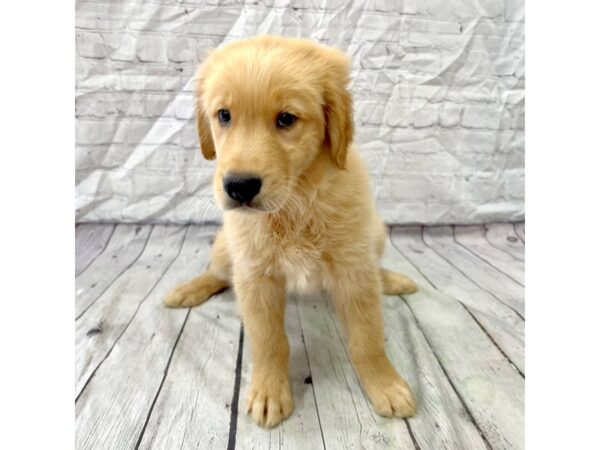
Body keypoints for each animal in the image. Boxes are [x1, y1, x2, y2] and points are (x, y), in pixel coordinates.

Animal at [164, 35, 418, 428]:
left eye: (286, 119)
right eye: (224, 115)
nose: (239, 187)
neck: (295, 202)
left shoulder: (353, 269)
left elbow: (368, 337)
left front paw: (385, 385)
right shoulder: (255, 275)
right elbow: (268, 340)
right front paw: (269, 392)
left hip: (374, 233)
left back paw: (391, 280)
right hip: (226, 248)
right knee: (217, 273)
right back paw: (187, 290)